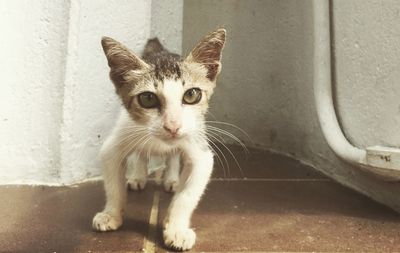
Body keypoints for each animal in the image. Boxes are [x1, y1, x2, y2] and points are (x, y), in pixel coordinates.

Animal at [92, 28, 227, 251]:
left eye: (192, 95)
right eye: (147, 98)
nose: (172, 126)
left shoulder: (201, 153)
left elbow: (187, 195)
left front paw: (176, 229)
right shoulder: (113, 146)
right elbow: (113, 187)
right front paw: (110, 214)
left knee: (172, 157)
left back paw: (171, 179)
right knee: (141, 153)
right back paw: (138, 176)